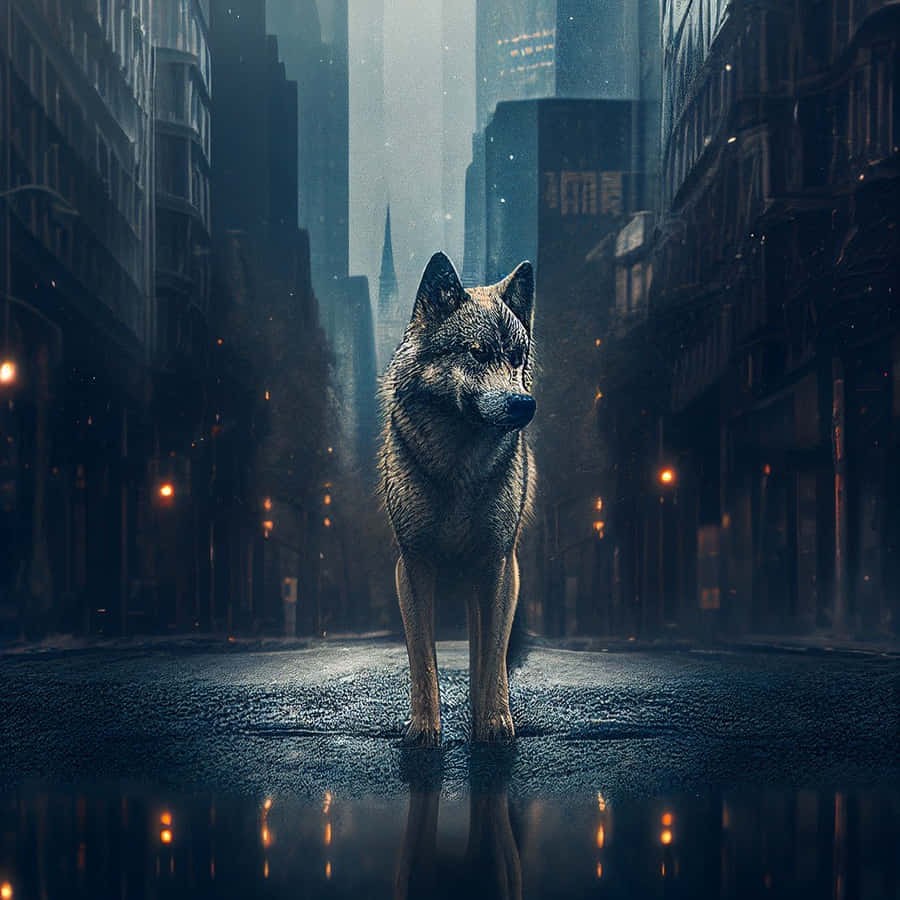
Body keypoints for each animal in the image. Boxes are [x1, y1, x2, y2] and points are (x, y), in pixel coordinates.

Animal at [379, 251, 536, 745]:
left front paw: (493, 722)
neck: (458, 466)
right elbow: (423, 660)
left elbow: (492, 654)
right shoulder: (411, 566)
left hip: (495, 574)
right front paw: (424, 730)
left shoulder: (497, 564)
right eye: (478, 353)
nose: (525, 405)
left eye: (516, 358)